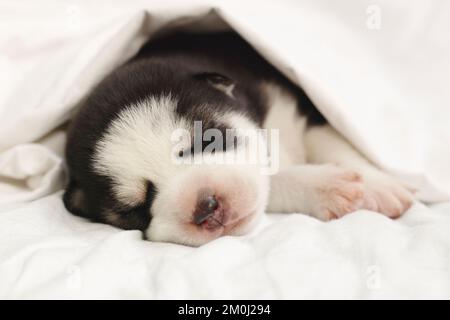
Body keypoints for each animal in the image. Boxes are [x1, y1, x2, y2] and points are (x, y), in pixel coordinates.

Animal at [63, 32, 414, 246]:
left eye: (207, 141)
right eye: (135, 210)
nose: (206, 209)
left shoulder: (296, 107)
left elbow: (329, 139)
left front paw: (380, 186)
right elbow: (273, 181)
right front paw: (328, 187)